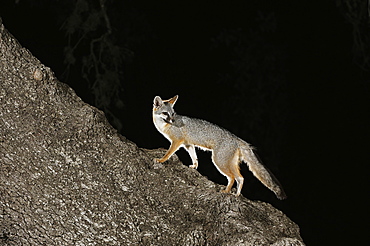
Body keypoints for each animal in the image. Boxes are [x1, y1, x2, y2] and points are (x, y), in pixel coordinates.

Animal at [152, 94, 286, 200]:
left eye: (173, 114)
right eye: (165, 113)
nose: (172, 120)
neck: (164, 126)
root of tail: (237, 138)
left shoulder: (177, 141)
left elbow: (169, 153)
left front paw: (161, 160)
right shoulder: (188, 144)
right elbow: (194, 157)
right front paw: (194, 166)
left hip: (218, 161)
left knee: (232, 178)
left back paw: (226, 191)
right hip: (229, 163)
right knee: (241, 178)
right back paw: (236, 194)